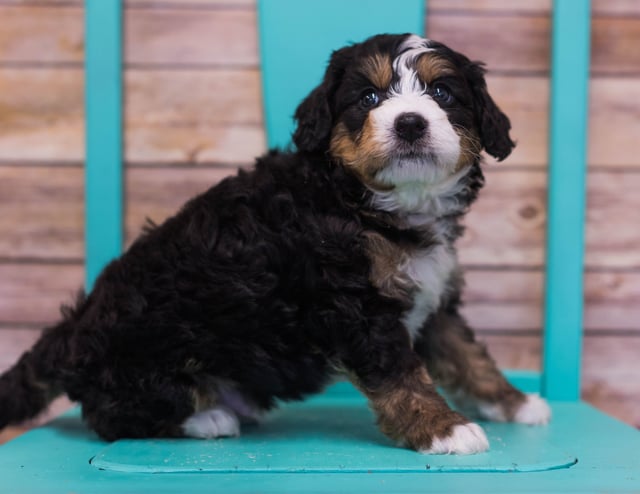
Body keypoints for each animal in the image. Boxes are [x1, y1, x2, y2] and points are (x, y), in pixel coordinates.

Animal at [0, 32, 552, 454]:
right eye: (368, 99)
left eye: (442, 92)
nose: (410, 123)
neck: (372, 204)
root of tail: (73, 329)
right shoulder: (355, 307)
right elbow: (402, 374)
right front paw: (444, 429)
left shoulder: (432, 300)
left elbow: (468, 355)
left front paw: (515, 402)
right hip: (141, 355)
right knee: (109, 413)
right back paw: (207, 417)